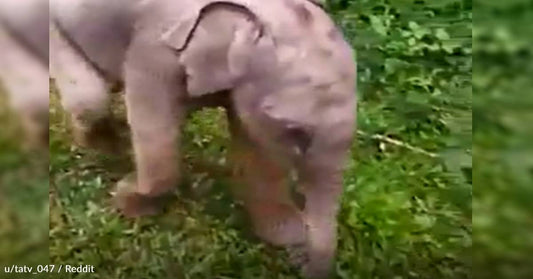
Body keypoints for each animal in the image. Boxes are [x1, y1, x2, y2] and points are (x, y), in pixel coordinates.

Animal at [51, 0, 358, 278]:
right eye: (297, 132)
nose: (299, 262)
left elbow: (258, 152)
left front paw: (283, 232)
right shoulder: (153, 50)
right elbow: (155, 128)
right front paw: (128, 201)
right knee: (89, 99)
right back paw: (110, 145)